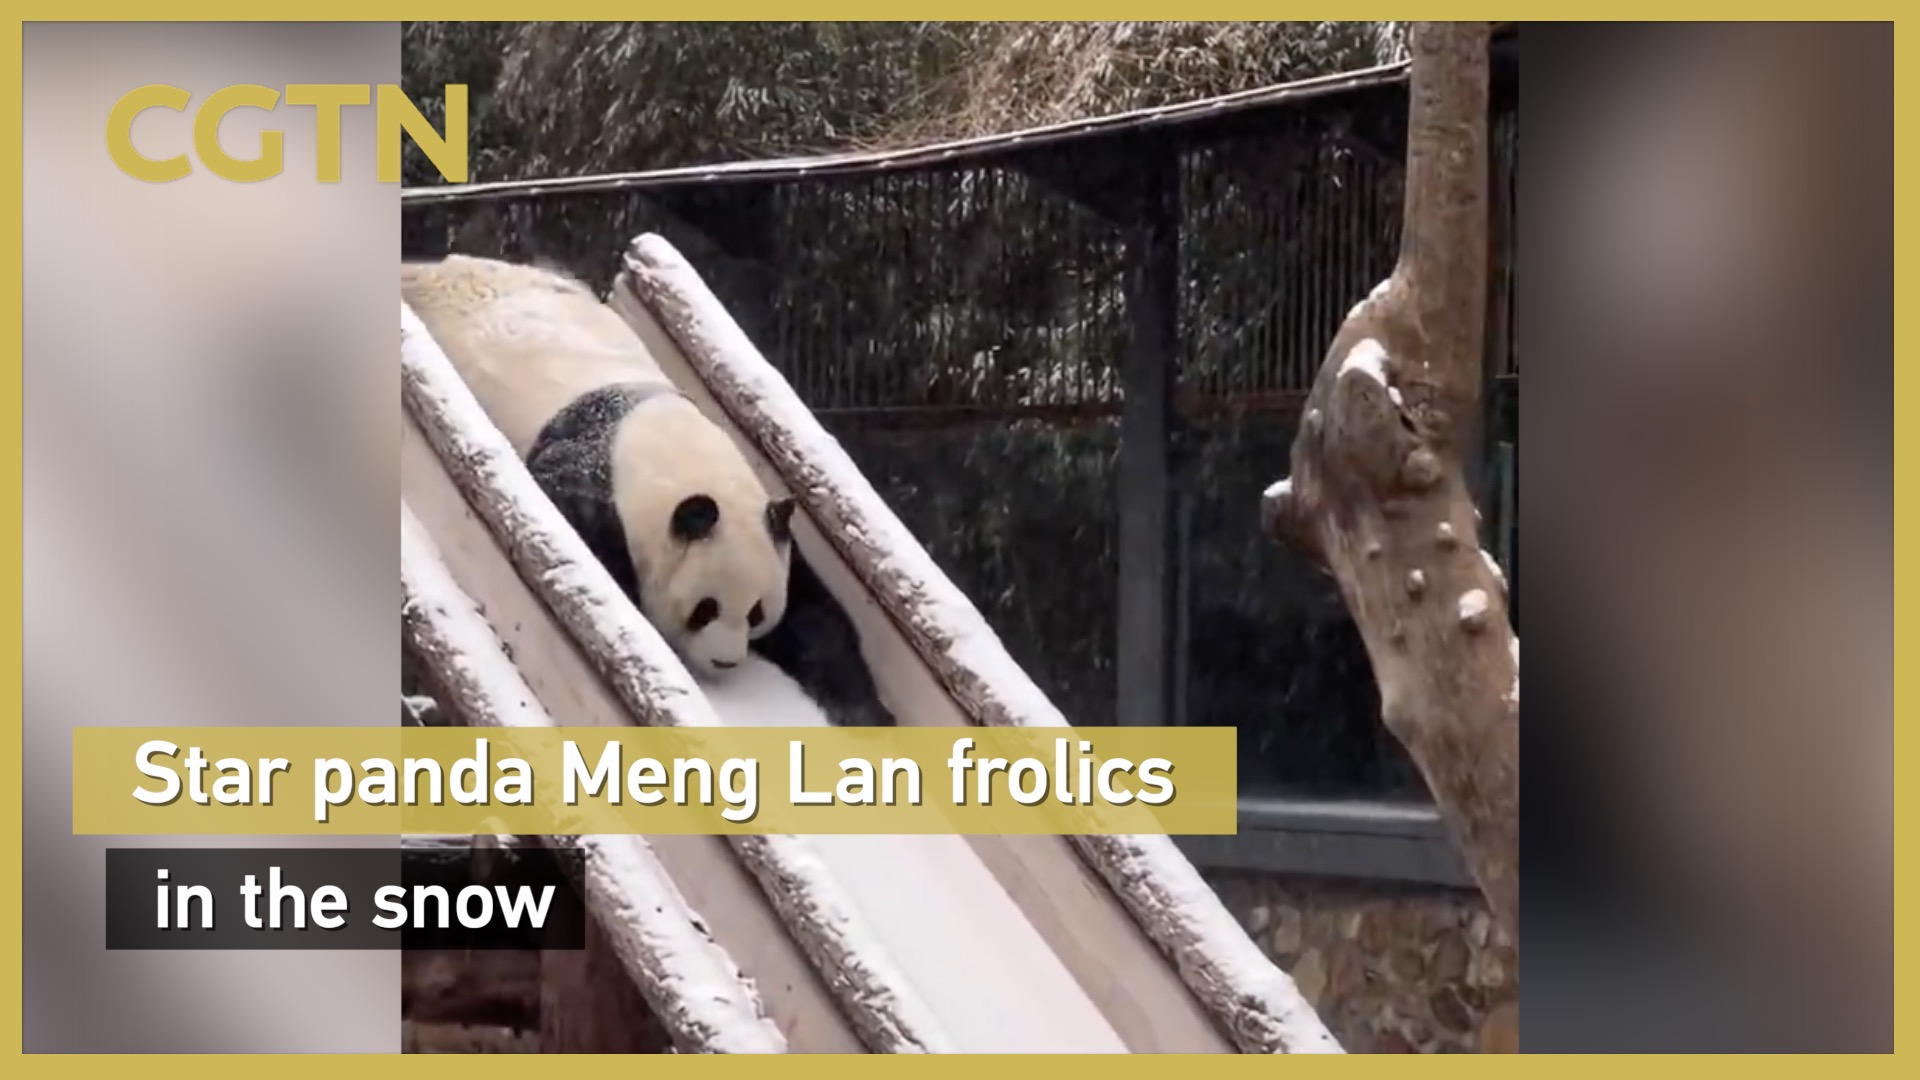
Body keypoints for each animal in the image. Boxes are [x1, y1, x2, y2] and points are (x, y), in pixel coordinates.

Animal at [402, 253, 893, 728]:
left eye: (756, 611)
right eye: (706, 607)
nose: (727, 661)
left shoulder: (769, 528)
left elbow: (813, 617)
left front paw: (868, 712)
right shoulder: (591, 494)